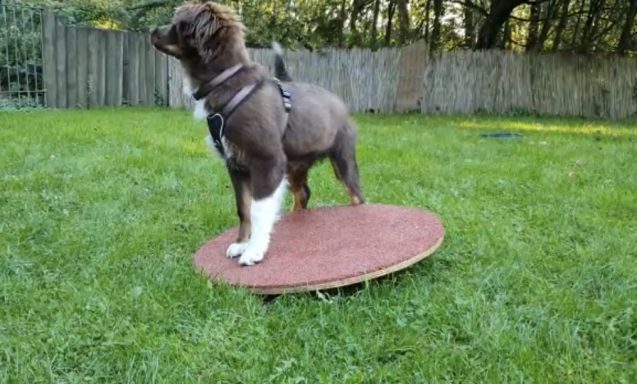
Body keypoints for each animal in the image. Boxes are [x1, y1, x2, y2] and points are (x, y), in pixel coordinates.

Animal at [150, 2, 362, 268]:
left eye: (178, 24)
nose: (151, 31)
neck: (227, 84)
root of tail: (338, 101)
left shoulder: (266, 160)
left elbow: (259, 209)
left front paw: (254, 250)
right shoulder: (235, 165)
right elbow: (243, 207)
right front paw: (241, 243)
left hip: (342, 157)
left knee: (356, 194)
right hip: (294, 165)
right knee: (303, 194)